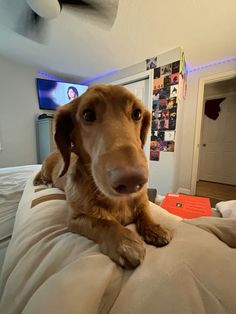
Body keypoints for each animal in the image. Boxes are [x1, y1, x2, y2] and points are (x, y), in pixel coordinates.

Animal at [33, 84, 171, 268]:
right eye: (88, 114)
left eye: (137, 113)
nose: (132, 180)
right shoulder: (75, 219)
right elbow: (101, 222)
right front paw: (124, 242)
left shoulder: (143, 202)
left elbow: (145, 212)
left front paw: (155, 228)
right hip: (46, 168)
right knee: (41, 176)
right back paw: (46, 183)